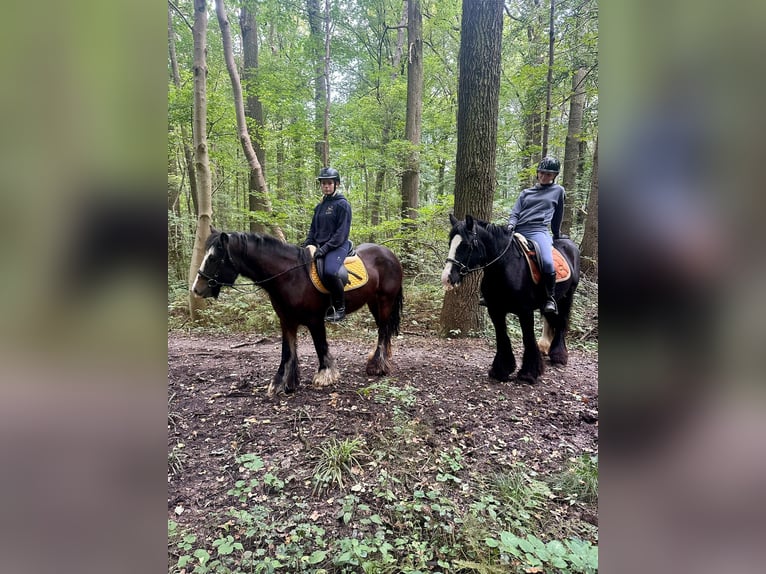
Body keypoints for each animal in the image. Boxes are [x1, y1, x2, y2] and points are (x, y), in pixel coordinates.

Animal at [192, 230, 404, 396]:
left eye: (213, 258)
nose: (197, 289)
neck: (290, 275)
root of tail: (389, 254)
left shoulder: (315, 320)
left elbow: (320, 345)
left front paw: (325, 375)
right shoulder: (286, 320)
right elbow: (287, 350)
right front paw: (282, 382)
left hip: (385, 300)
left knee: (383, 330)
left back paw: (377, 366)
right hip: (373, 303)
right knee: (383, 329)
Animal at [440, 214, 580, 384]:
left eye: (466, 245)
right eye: (450, 243)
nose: (447, 278)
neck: (505, 266)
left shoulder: (525, 311)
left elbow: (528, 338)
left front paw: (528, 373)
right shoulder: (495, 310)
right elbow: (502, 337)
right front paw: (501, 370)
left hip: (567, 297)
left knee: (561, 323)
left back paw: (558, 356)